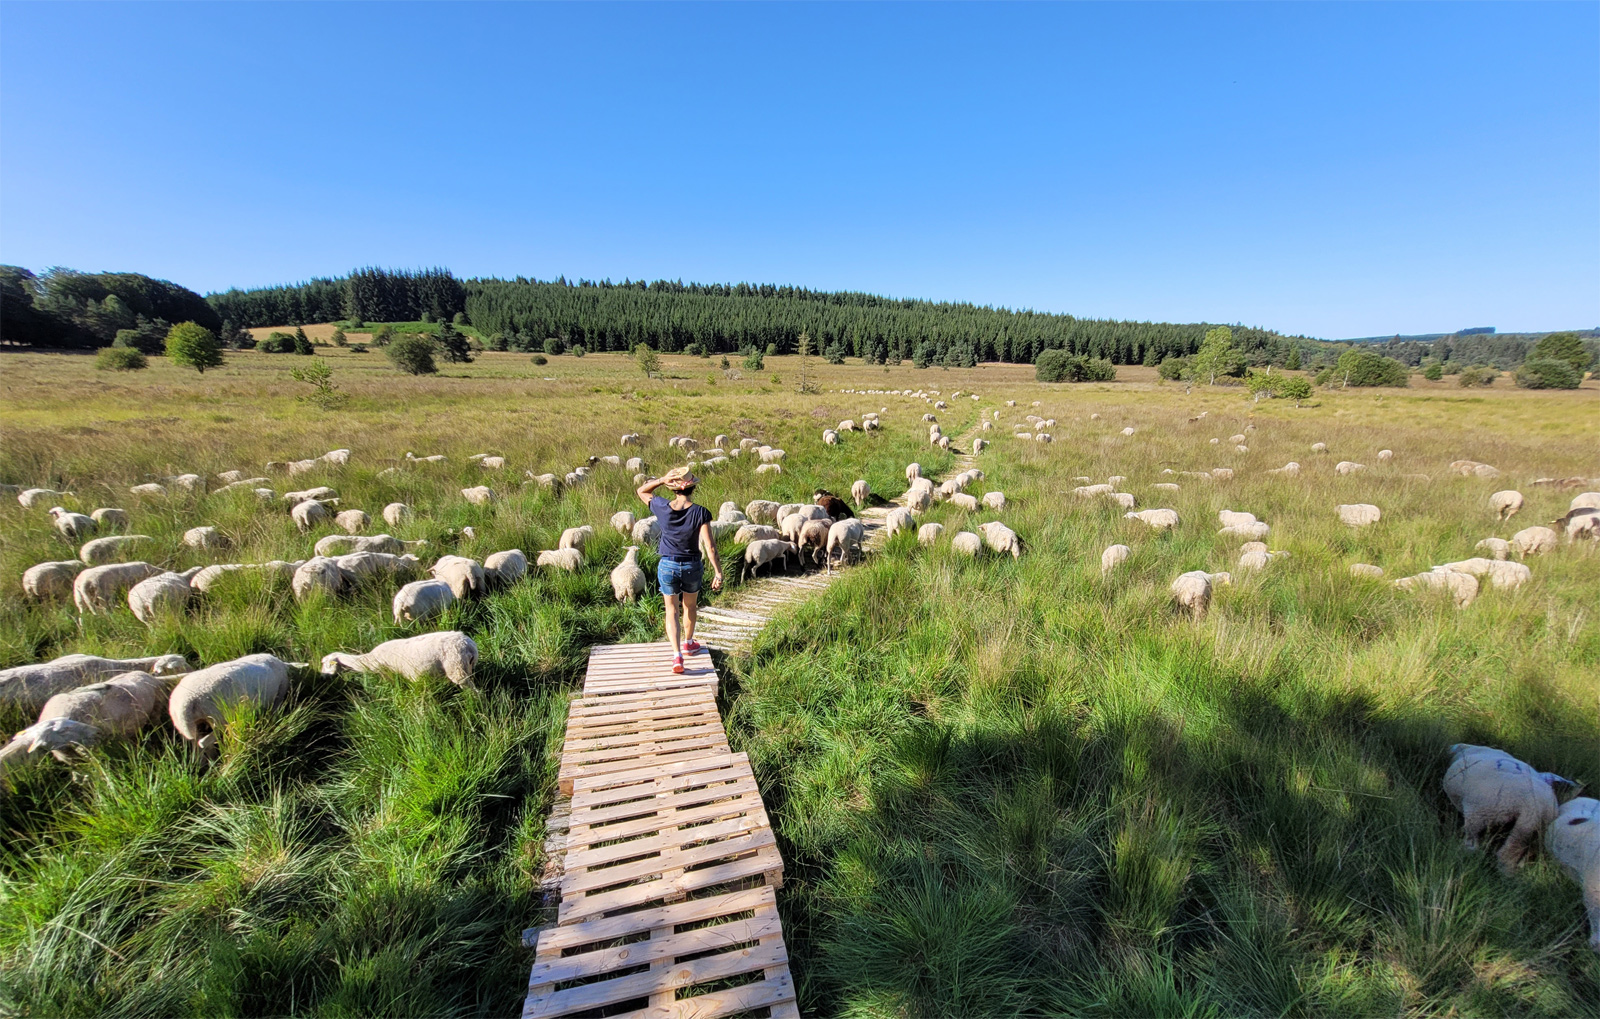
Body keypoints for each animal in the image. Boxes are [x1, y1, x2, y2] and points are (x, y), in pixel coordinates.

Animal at [320, 627, 480, 691]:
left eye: (325, 664)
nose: (322, 676)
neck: (369, 660)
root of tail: (468, 645)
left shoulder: (387, 673)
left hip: (456, 667)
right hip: (468, 667)